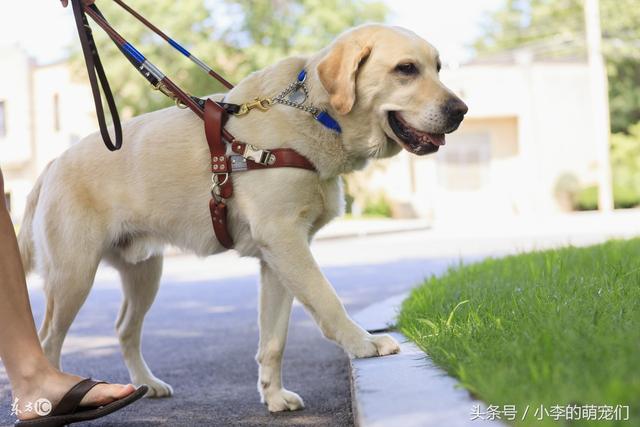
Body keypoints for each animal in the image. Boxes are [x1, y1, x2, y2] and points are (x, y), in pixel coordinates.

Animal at [16, 25, 464, 412]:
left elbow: (274, 338)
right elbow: (327, 299)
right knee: (48, 340)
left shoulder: (277, 259)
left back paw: (148, 383)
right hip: (73, 277)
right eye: (406, 69)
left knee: (125, 328)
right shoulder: (285, 241)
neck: (316, 114)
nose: (461, 110)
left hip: (144, 272)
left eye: (438, 67)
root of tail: (51, 166)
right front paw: (363, 344)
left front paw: (273, 395)